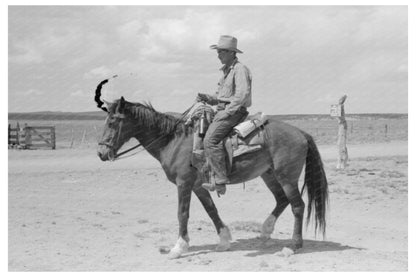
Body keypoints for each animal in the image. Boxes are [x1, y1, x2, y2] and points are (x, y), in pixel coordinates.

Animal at [94, 78, 328, 258]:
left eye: (113, 122)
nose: (101, 153)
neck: (173, 140)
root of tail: (300, 133)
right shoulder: (198, 185)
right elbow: (211, 210)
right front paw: (224, 240)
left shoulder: (183, 183)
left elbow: (182, 213)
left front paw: (178, 248)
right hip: (269, 175)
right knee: (282, 200)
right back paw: (265, 231)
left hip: (287, 176)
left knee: (297, 206)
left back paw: (293, 246)